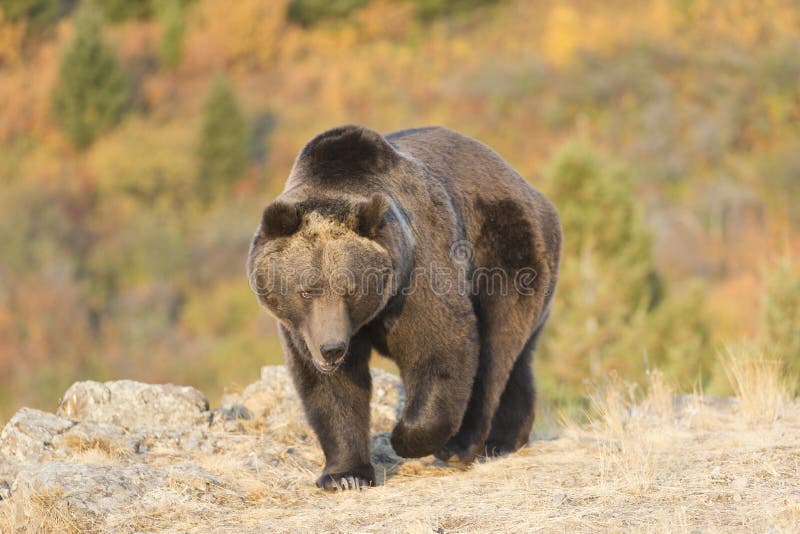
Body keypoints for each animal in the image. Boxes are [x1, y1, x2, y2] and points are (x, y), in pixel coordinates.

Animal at [247, 125, 560, 494]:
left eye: (350, 288)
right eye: (307, 289)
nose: (331, 348)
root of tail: (533, 192)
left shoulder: (415, 273)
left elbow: (439, 344)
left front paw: (404, 438)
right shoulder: (305, 329)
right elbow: (331, 387)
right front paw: (344, 475)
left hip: (505, 250)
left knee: (495, 350)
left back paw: (461, 446)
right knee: (519, 360)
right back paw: (506, 439)